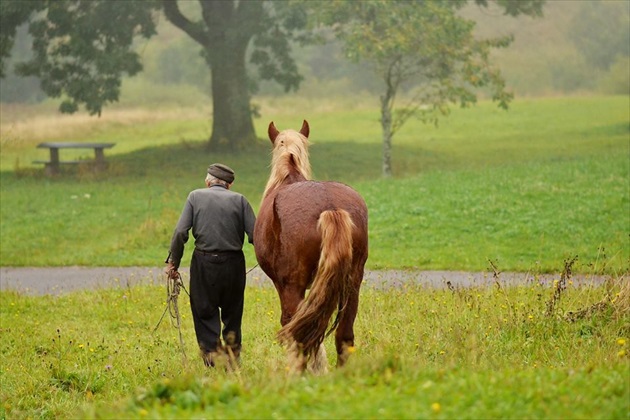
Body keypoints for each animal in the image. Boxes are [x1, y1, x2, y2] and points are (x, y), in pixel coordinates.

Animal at [254, 120, 368, 372]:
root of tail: (330, 206)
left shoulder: (285, 285)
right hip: (352, 283)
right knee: (344, 335)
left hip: (292, 286)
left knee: (297, 334)